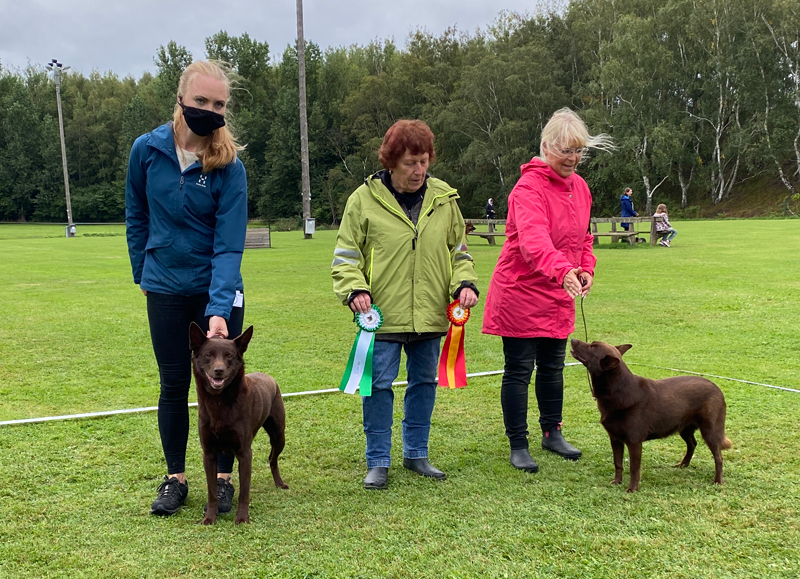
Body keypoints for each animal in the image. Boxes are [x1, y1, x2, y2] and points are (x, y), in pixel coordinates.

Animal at [189, 322, 288, 524]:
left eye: (229, 356)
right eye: (208, 354)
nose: (219, 370)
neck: (220, 402)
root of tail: (268, 377)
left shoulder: (244, 453)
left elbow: (244, 490)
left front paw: (242, 517)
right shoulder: (208, 453)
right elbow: (212, 491)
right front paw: (210, 517)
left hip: (278, 435)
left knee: (272, 459)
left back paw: (279, 483)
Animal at [570, 339, 732, 492]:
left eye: (592, 347)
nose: (573, 339)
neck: (617, 389)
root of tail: (717, 388)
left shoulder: (634, 442)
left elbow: (634, 468)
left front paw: (632, 489)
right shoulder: (615, 439)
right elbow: (618, 463)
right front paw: (617, 482)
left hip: (710, 431)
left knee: (719, 457)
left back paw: (717, 481)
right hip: (684, 428)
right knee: (692, 444)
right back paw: (684, 464)